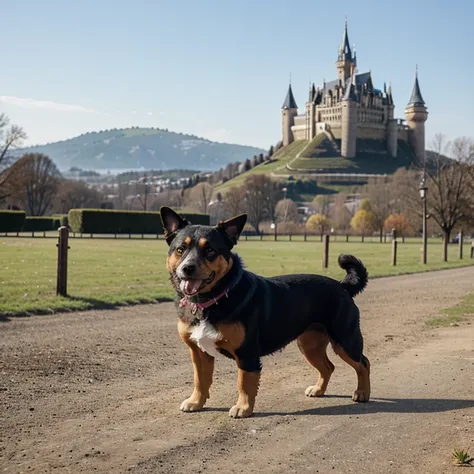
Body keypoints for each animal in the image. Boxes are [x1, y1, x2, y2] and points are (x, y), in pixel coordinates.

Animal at [159, 206, 370, 416]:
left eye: (210, 249)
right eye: (180, 249)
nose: (188, 268)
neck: (213, 299)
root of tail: (342, 286)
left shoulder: (247, 353)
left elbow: (244, 382)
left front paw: (243, 408)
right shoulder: (199, 353)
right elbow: (200, 381)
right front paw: (196, 402)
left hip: (345, 340)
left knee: (363, 363)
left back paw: (362, 392)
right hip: (310, 344)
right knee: (328, 367)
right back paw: (319, 389)